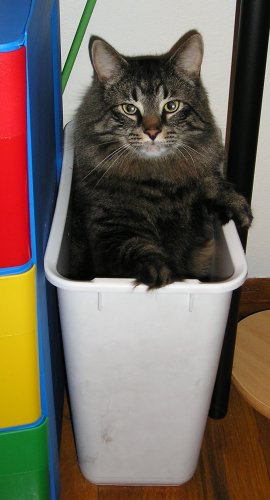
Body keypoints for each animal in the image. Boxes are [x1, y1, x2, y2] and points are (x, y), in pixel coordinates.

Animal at [70, 30, 253, 290]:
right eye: (129, 109)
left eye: (171, 106)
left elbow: (210, 181)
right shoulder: (111, 226)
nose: (152, 132)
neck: (158, 177)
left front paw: (235, 204)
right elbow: (136, 247)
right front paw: (161, 272)